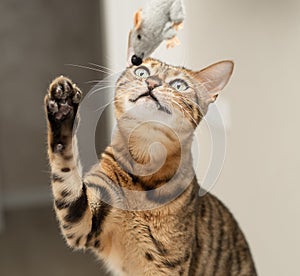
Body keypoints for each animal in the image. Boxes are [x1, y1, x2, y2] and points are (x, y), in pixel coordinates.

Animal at [45, 57, 258, 274]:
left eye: (179, 85)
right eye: (142, 72)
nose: (152, 82)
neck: (144, 163)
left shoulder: (168, 266)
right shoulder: (84, 221)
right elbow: (66, 172)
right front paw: (63, 105)